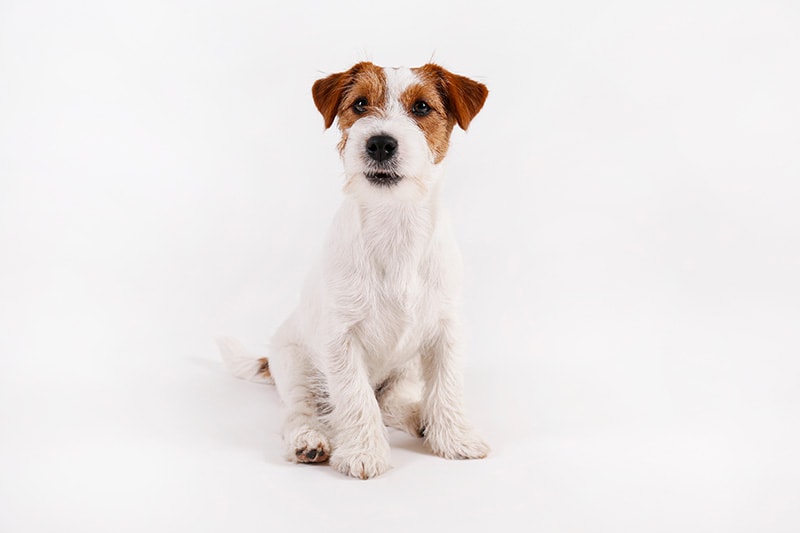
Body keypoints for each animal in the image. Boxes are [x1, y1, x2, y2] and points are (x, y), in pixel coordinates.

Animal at [222, 61, 490, 478]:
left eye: (422, 107)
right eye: (360, 104)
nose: (380, 142)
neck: (395, 225)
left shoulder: (445, 331)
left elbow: (447, 387)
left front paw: (455, 438)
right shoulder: (341, 340)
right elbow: (355, 397)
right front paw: (364, 453)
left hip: (406, 369)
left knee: (391, 400)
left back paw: (420, 418)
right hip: (297, 367)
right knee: (302, 411)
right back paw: (308, 441)